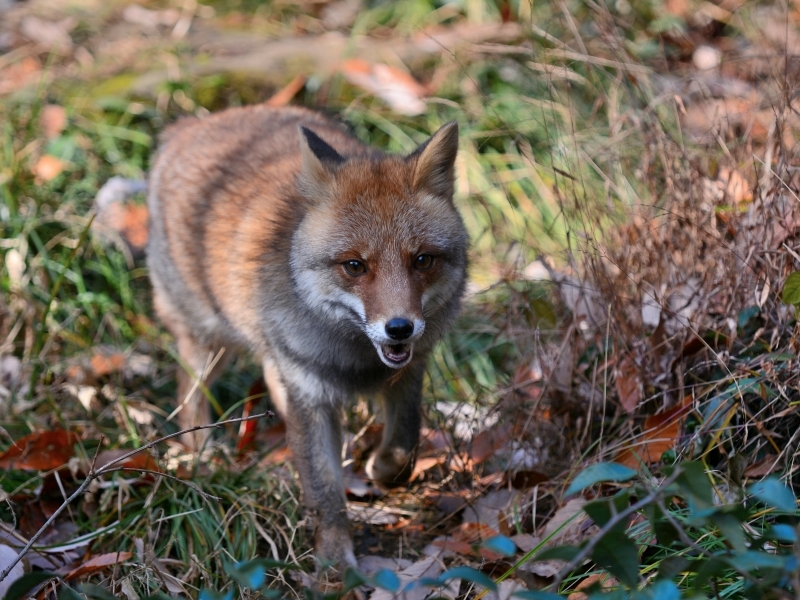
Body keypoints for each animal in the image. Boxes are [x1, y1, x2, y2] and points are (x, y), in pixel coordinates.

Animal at [148, 105, 468, 568]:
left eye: (422, 260)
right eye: (354, 266)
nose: (399, 327)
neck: (356, 360)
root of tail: (193, 123)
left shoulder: (407, 372)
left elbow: (404, 446)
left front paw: (381, 472)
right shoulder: (309, 389)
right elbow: (324, 492)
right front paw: (336, 566)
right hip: (209, 341)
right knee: (189, 397)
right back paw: (202, 456)